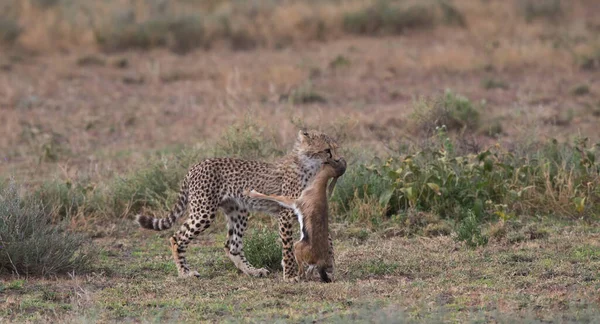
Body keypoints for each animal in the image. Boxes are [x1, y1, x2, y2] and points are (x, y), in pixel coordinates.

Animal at [137, 130, 342, 280]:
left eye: (336, 149)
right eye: (327, 150)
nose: (339, 160)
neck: (310, 168)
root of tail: (197, 164)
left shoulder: (313, 211)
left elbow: (327, 240)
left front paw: (330, 267)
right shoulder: (285, 213)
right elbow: (288, 247)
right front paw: (291, 275)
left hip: (238, 211)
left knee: (231, 245)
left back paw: (253, 271)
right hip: (204, 212)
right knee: (176, 237)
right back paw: (185, 272)